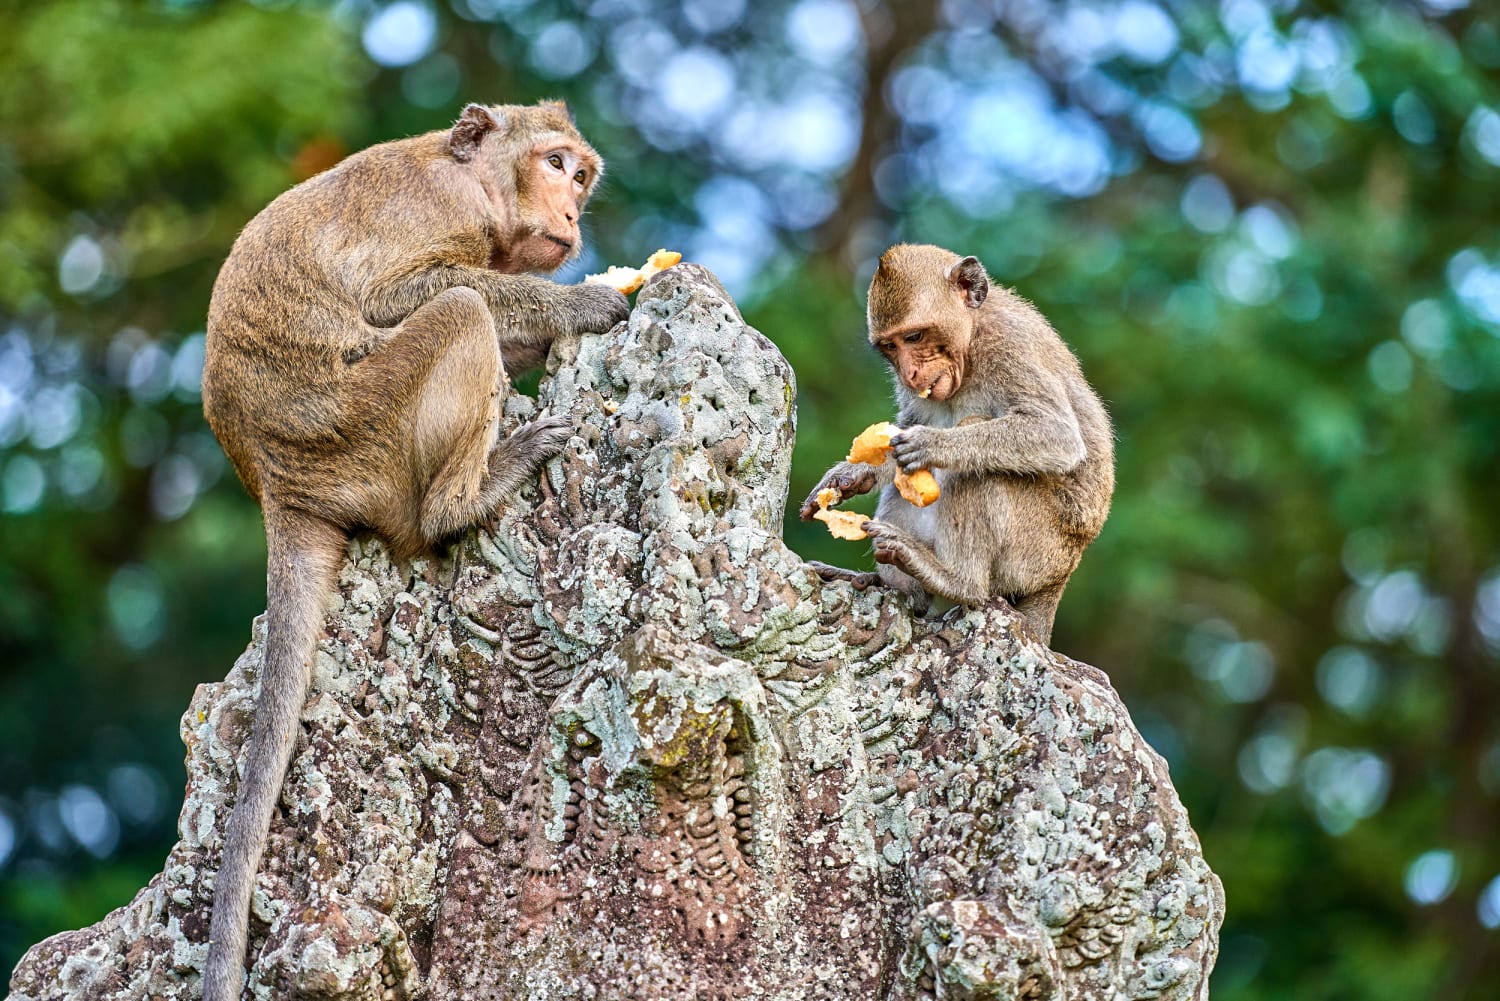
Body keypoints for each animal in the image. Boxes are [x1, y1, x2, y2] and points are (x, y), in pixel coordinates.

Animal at [196, 96, 630, 1001]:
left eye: (582, 175)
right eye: (555, 163)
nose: (573, 212)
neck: (473, 179)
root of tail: (282, 485)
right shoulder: (437, 212)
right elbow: (408, 290)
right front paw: (580, 305)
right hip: (368, 424)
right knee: (458, 311)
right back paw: (467, 498)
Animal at [798, 246, 1116, 645]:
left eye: (915, 336)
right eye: (890, 346)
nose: (909, 374)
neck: (971, 341)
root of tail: (1061, 576)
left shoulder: (1008, 346)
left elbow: (1057, 433)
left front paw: (932, 444)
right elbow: (900, 435)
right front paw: (852, 474)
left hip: (1036, 555)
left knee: (980, 465)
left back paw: (957, 582)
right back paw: (904, 592)